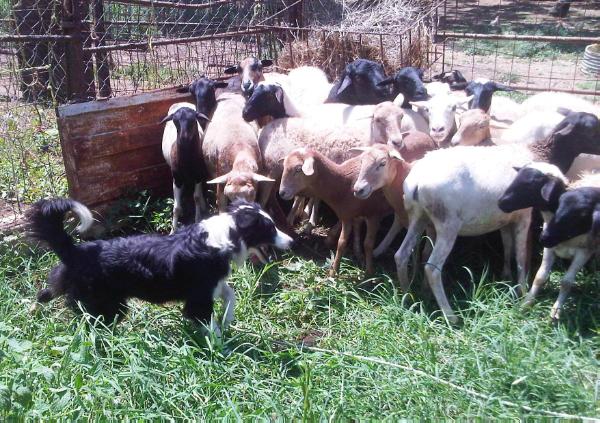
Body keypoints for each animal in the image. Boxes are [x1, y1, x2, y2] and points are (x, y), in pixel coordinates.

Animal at [27, 197, 294, 330]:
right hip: (107, 303)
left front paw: (227, 320)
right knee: (94, 322)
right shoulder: (199, 297)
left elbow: (230, 294)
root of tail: (75, 251)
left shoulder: (212, 285)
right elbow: (208, 323)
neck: (226, 236)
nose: (292, 242)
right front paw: (219, 347)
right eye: (270, 229)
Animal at [278, 147, 392, 276]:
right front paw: (334, 271)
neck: (342, 182)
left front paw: (369, 271)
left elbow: (368, 244)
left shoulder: (373, 215)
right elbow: (341, 242)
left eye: (298, 169)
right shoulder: (346, 215)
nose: (282, 193)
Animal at [500, 166, 600, 322]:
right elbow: (539, 277)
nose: (500, 202)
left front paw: (556, 311)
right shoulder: (549, 248)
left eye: (530, 185)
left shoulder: (583, 252)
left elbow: (566, 282)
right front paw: (526, 304)